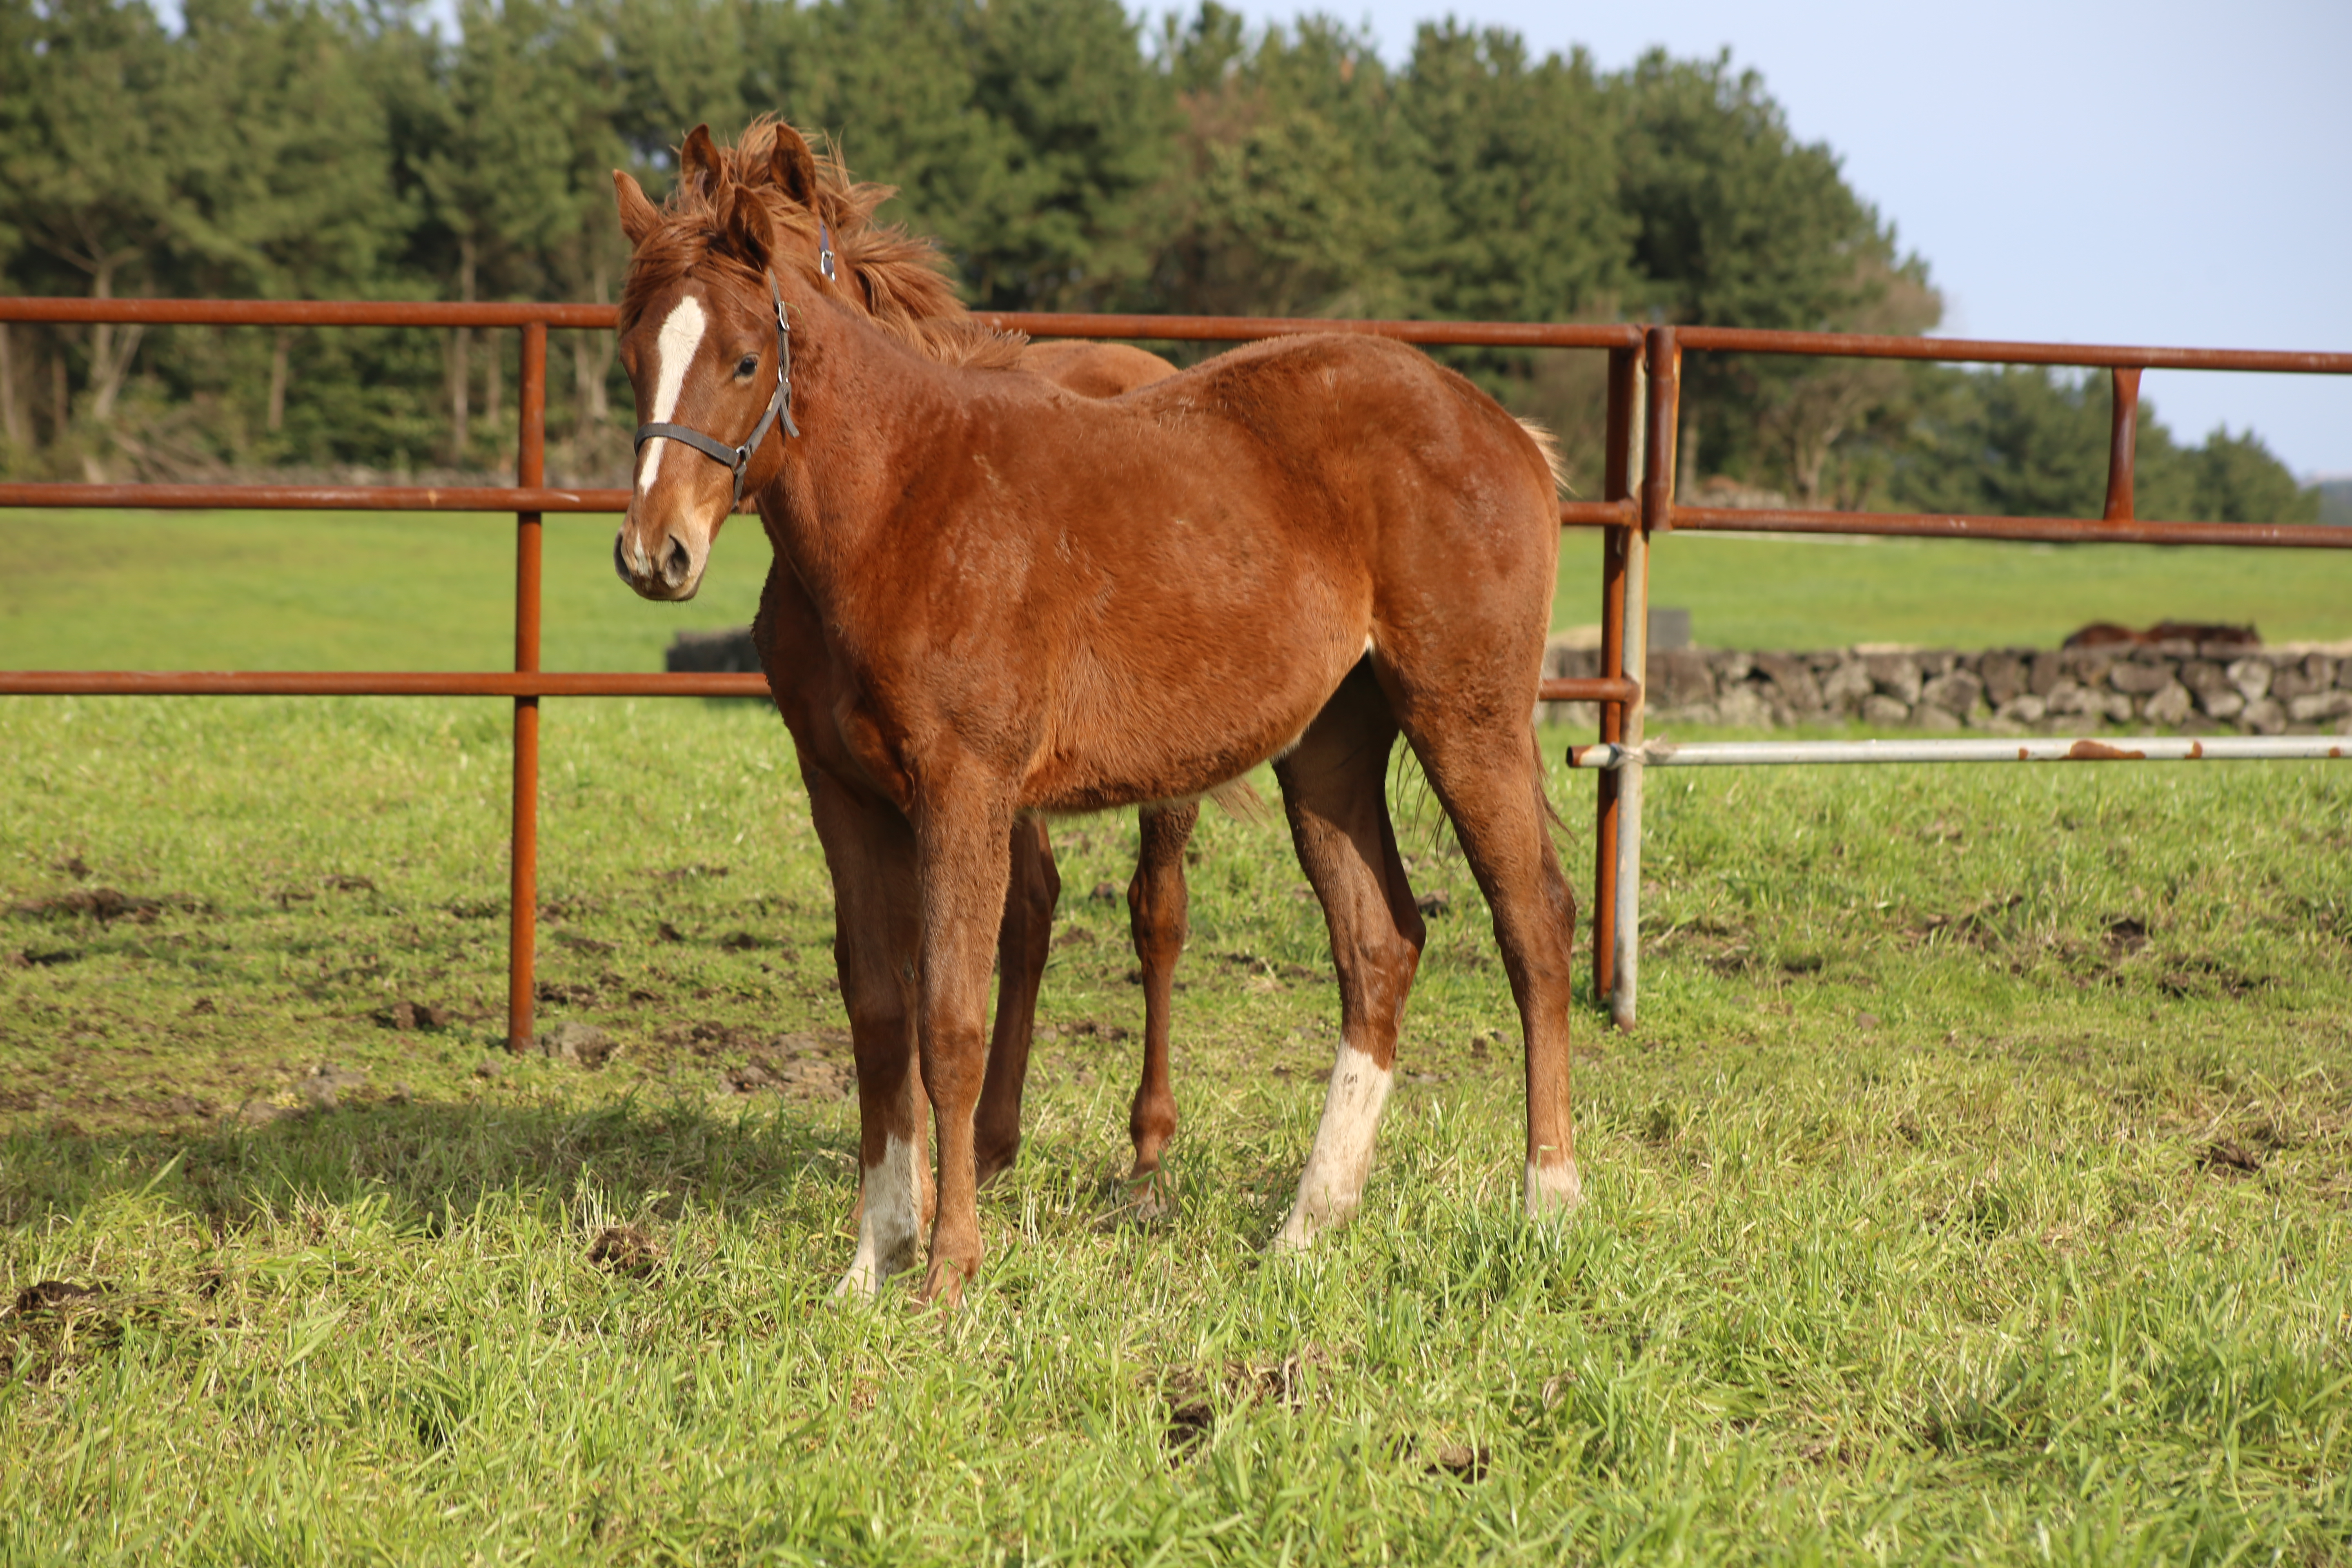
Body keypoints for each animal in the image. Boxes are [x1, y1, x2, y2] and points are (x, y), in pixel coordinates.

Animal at [616, 122, 1590, 1307]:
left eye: (746, 361)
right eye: (633, 353)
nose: (656, 553)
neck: (904, 504)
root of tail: (1504, 429)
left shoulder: (964, 789)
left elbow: (949, 1018)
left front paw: (946, 1273)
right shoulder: (842, 795)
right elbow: (878, 1014)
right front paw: (869, 1262)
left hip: (1466, 716)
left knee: (1532, 920)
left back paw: (1547, 1203)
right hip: (1330, 748)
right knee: (1380, 943)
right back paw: (1306, 1228)